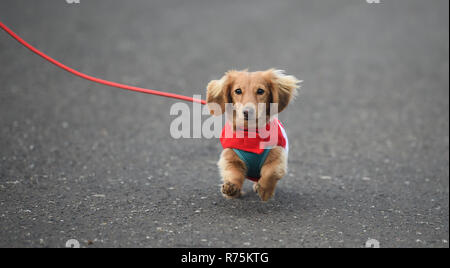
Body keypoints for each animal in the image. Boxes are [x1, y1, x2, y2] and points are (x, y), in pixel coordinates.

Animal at [206, 69, 300, 201]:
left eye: (260, 91)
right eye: (238, 91)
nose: (247, 112)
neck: (250, 134)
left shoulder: (277, 157)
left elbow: (270, 173)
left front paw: (265, 191)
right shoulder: (230, 157)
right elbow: (233, 174)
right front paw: (231, 188)